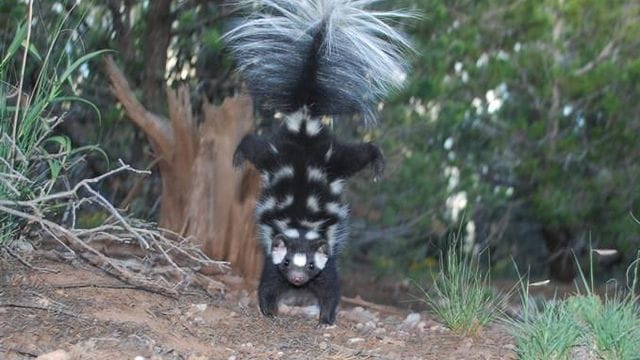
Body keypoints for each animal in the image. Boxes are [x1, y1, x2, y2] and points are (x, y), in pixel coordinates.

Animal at [228, 0, 412, 324]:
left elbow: (331, 288)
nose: (298, 279)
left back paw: (376, 159)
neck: (301, 226)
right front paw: (269, 310)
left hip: (333, 159)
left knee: (359, 154)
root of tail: (304, 121)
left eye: (311, 266)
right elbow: (268, 283)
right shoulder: (272, 258)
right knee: (253, 145)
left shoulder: (328, 260)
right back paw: (238, 156)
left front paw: (326, 318)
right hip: (279, 153)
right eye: (287, 262)